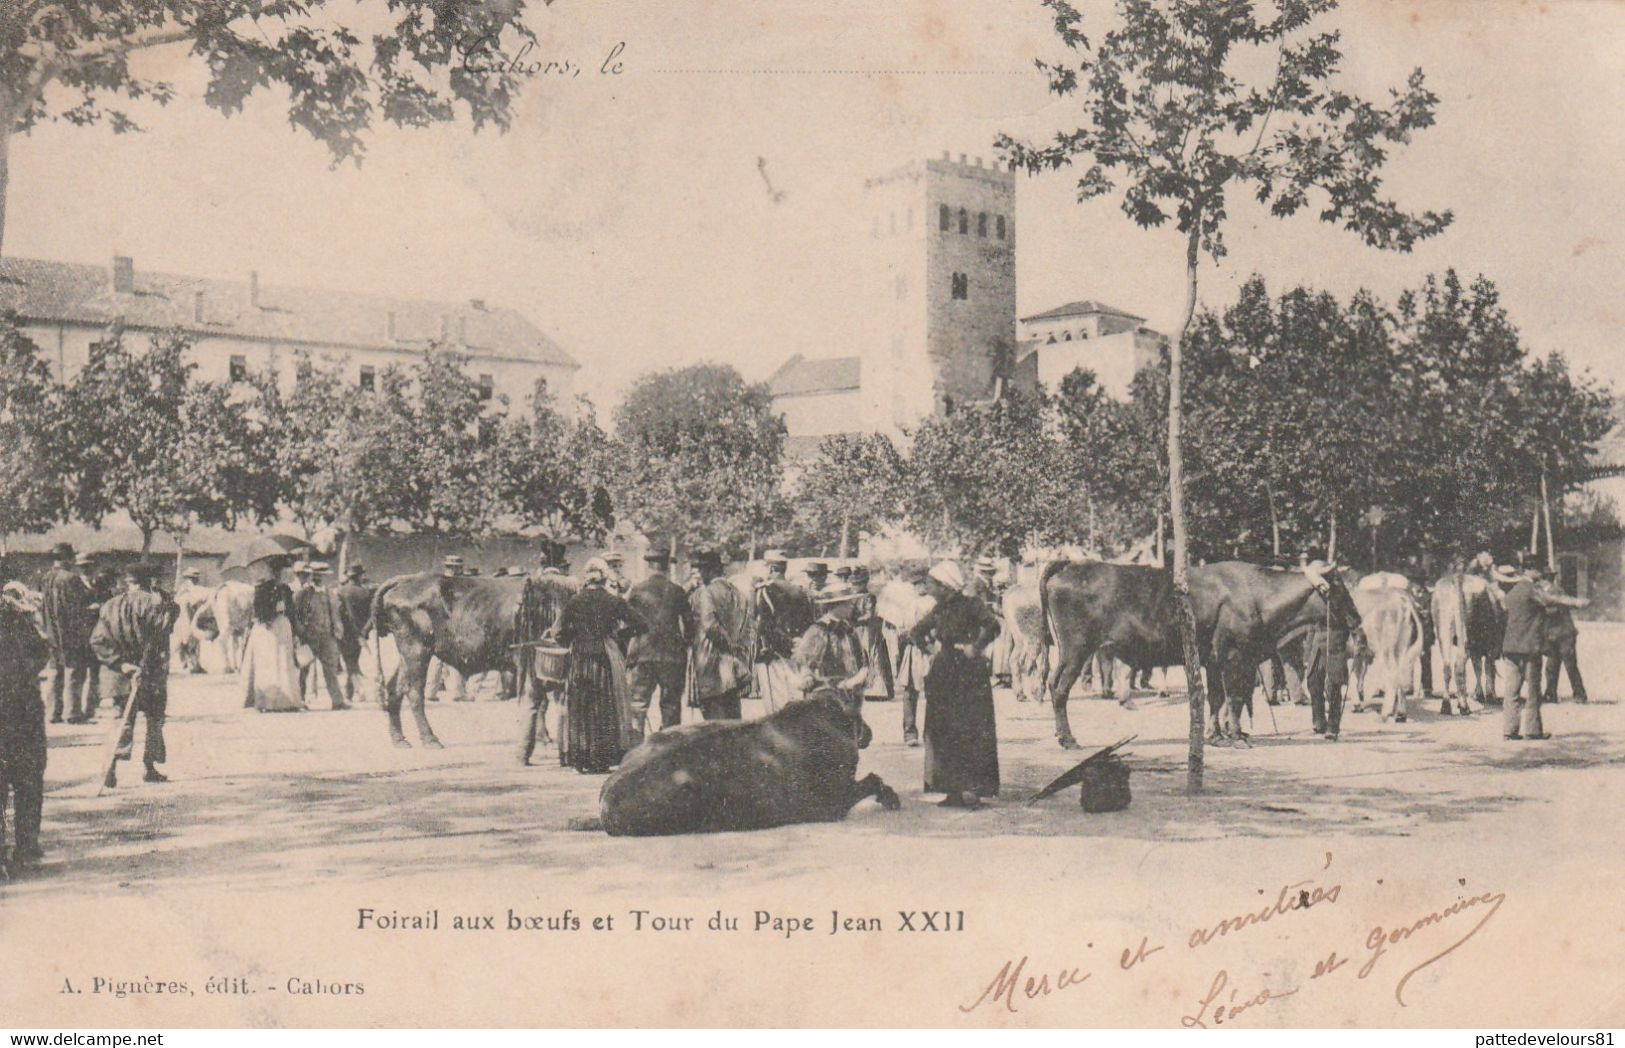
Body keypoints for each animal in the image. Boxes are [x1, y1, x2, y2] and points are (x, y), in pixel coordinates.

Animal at [598, 685, 903, 831]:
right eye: (858, 713)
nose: (869, 732)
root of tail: (606, 803)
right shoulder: (836, 801)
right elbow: (873, 779)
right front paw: (891, 798)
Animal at [1033, 558, 1365, 747]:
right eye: (1339, 588)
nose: (1357, 618)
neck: (1256, 595)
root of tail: (1069, 565)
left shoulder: (1213, 661)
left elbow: (1216, 698)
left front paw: (1216, 734)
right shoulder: (1234, 658)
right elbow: (1234, 698)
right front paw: (1236, 736)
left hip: (1070, 652)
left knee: (1051, 684)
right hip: (1076, 650)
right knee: (1059, 689)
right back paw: (1068, 739)